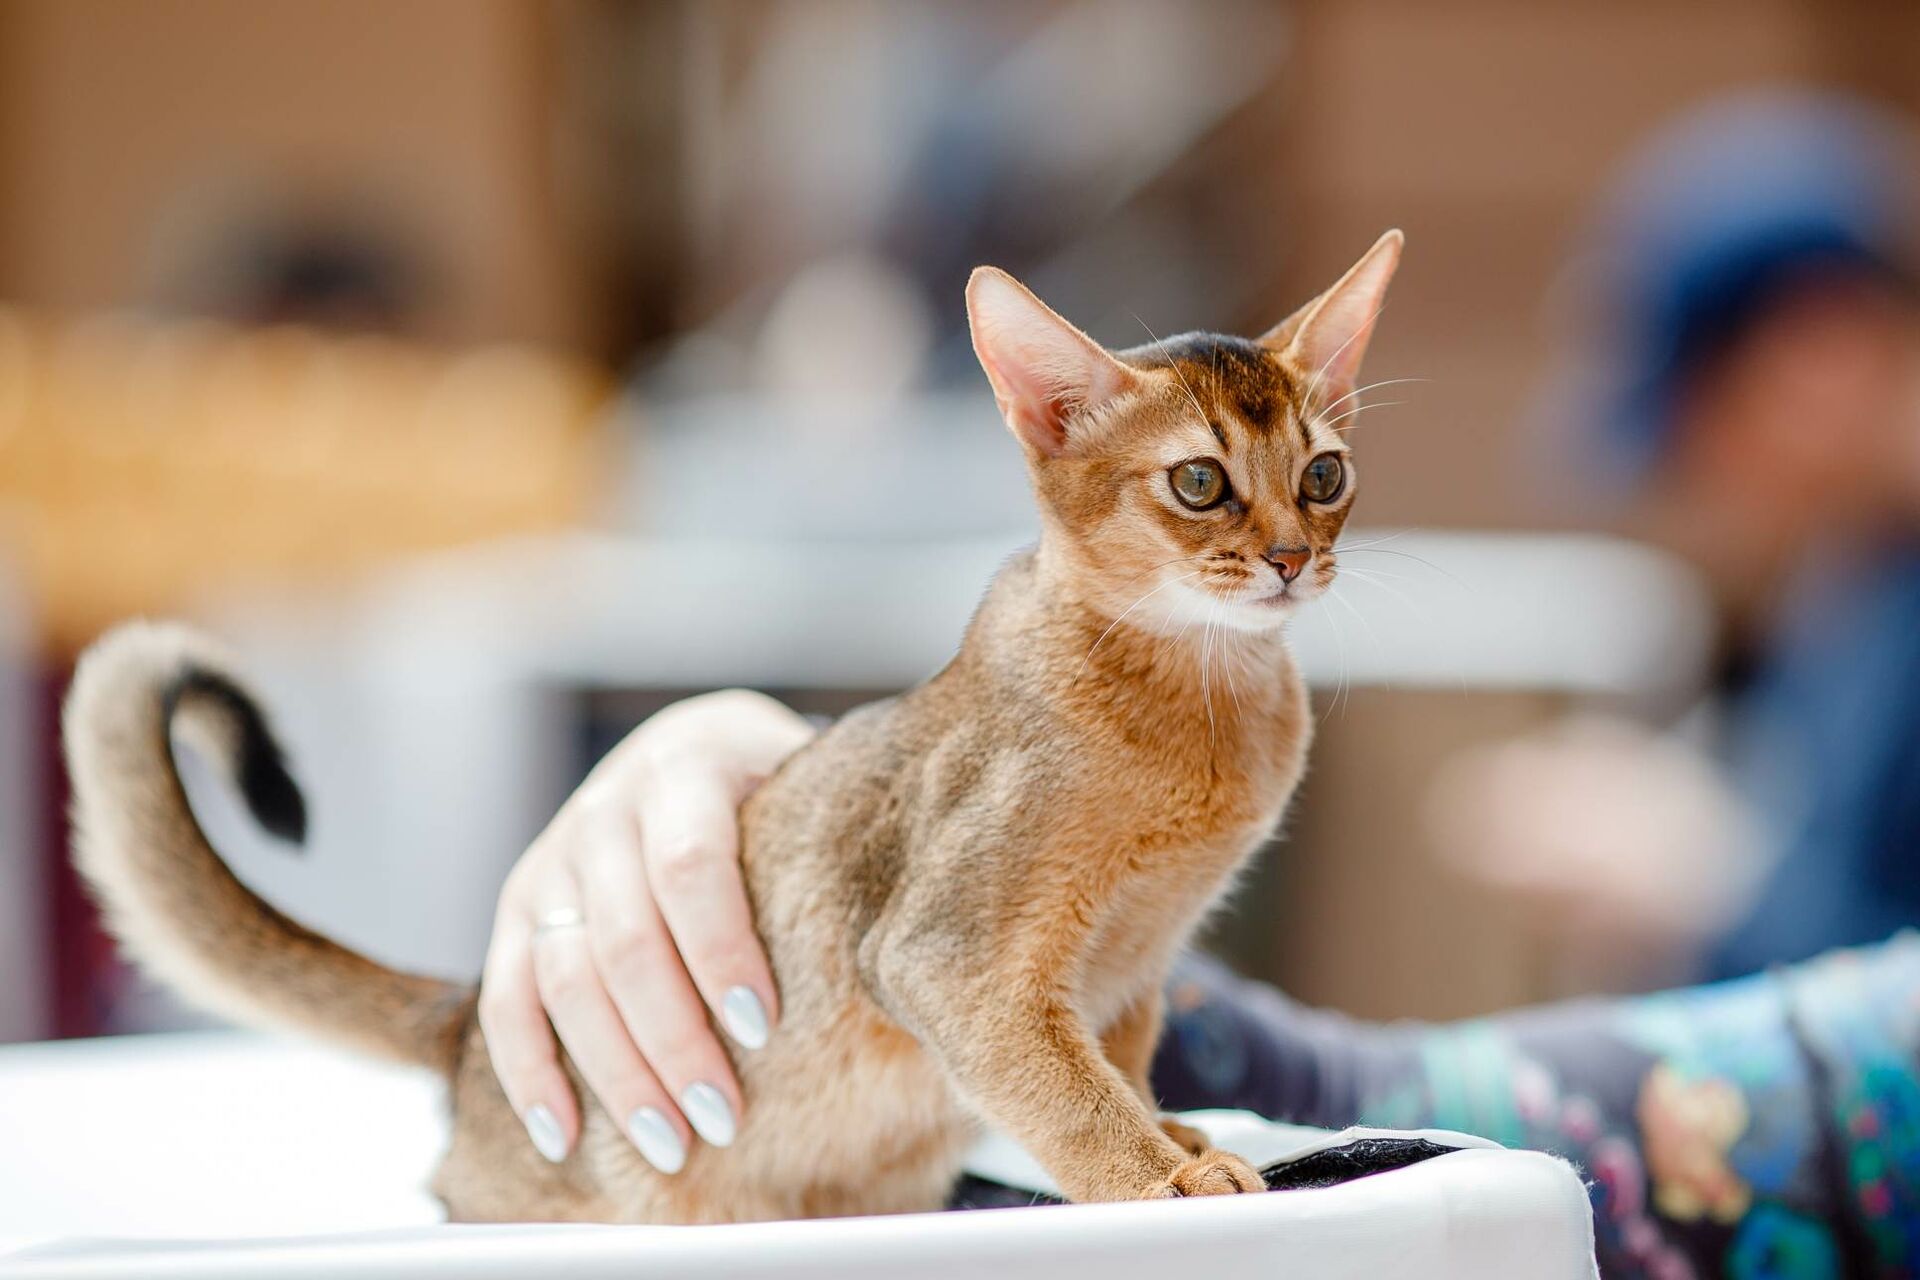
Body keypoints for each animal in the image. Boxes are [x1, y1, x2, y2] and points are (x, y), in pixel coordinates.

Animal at [67, 235, 1405, 1228]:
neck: (1209, 701)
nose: (1292, 557)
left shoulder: (1134, 973)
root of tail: (468, 1022)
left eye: (1324, 474)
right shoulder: (951, 957)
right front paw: (1163, 1176)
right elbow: (1067, 1096)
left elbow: (1111, 1069)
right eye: (1200, 483)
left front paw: (1176, 1130)